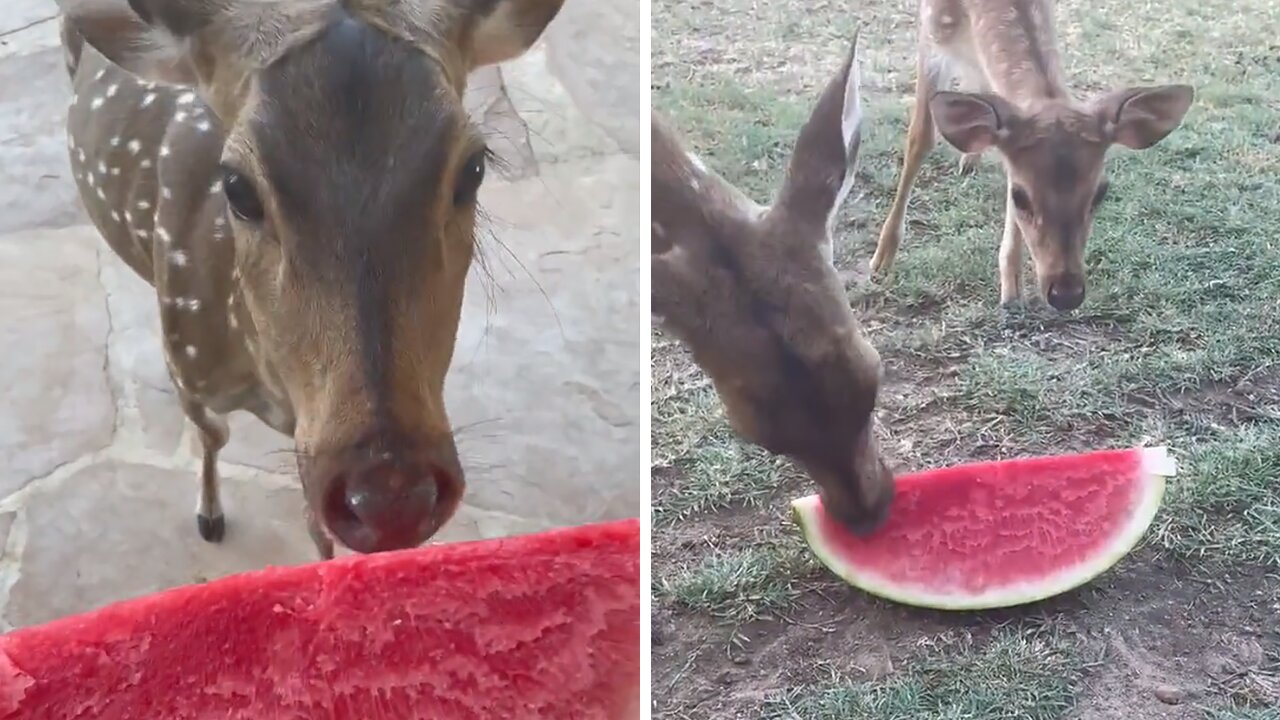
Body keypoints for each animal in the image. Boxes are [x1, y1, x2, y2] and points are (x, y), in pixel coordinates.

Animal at [56, 0, 565, 556]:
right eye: (236, 185)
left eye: (474, 167)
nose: (390, 494)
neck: (271, 385)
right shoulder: (185, 364)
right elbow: (213, 435)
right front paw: (209, 516)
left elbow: (311, 520)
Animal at [875, 0, 1192, 310]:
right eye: (1020, 196)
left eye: (1100, 193)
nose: (1066, 294)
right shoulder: (931, 30)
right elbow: (920, 137)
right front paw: (882, 257)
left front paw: (1011, 289)